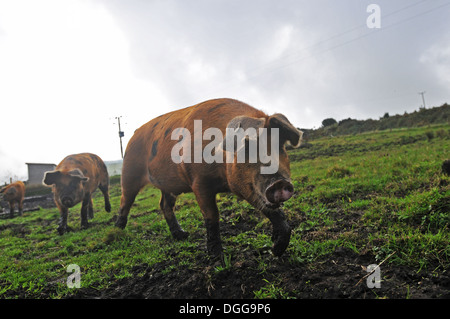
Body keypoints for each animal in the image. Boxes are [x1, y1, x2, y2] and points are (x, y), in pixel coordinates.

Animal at [115, 99, 302, 258]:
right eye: (245, 148)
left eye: (280, 147)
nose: (279, 182)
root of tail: (134, 134)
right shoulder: (199, 182)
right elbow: (212, 216)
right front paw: (219, 259)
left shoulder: (247, 187)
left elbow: (271, 210)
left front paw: (276, 250)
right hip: (129, 172)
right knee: (125, 201)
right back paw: (118, 231)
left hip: (168, 185)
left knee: (164, 204)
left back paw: (182, 235)